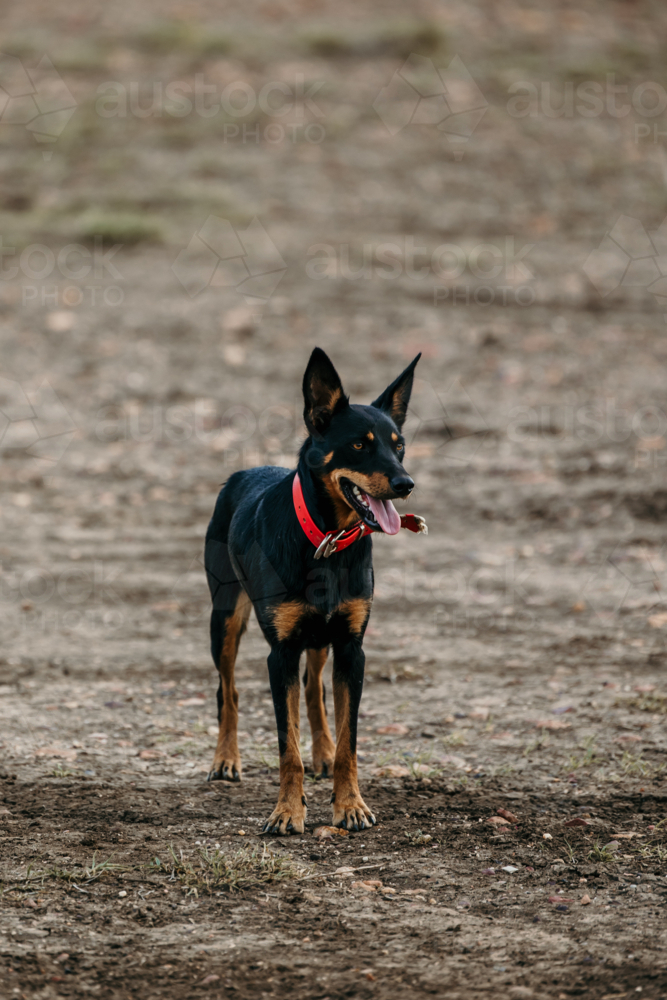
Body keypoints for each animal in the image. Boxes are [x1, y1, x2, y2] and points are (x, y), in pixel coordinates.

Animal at [202, 348, 428, 832]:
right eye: (359, 444)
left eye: (399, 444)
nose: (406, 484)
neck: (327, 540)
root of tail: (245, 471)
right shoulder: (282, 652)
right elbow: (287, 748)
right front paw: (287, 812)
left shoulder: (351, 647)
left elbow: (348, 741)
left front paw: (350, 805)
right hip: (224, 617)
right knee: (228, 691)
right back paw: (225, 760)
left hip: (322, 638)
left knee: (313, 691)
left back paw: (321, 752)